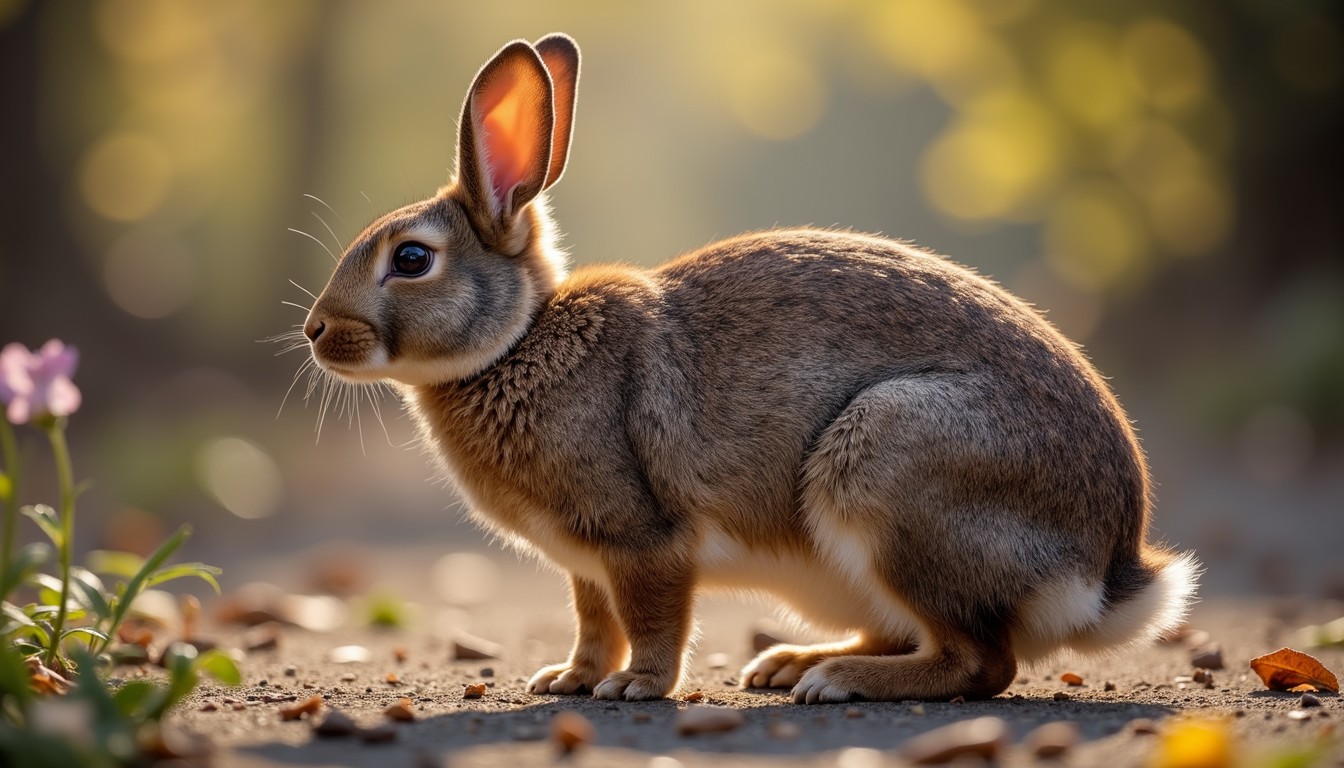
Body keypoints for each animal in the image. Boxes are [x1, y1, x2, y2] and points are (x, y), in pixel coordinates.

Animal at [302, 34, 1198, 703]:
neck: (519, 339)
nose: (316, 332)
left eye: (411, 259)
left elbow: (652, 618)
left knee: (980, 661)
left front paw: (636, 688)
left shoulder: (642, 536)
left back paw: (835, 681)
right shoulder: (584, 565)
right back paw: (794, 664)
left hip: (890, 467)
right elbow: (594, 622)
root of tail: (1108, 572)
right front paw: (567, 681)